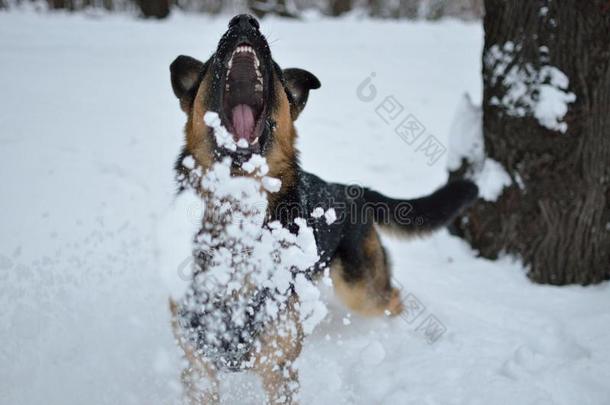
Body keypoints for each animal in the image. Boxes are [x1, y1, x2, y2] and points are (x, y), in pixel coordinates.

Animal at [169, 14, 478, 402]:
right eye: (212, 61)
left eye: (275, 69)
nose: (243, 20)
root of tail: (352, 191)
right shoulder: (197, 367)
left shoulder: (278, 367)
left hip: (360, 289)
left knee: (393, 299)